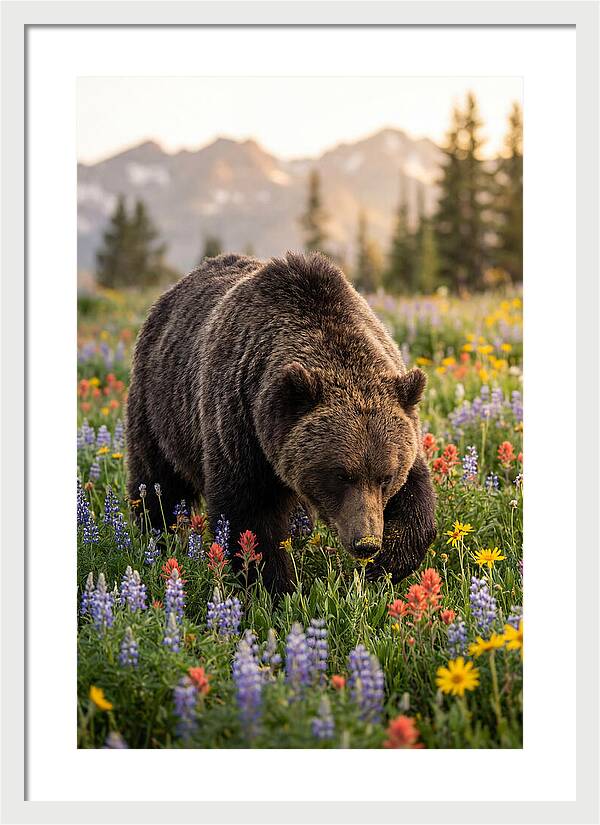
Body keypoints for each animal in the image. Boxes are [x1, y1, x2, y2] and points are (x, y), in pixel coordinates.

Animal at [126, 252, 436, 593]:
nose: (365, 542)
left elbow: (416, 497)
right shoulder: (241, 425)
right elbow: (250, 517)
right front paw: (274, 587)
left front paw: (386, 565)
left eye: (386, 476)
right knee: (157, 482)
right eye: (341, 475)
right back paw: (156, 538)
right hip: (159, 409)